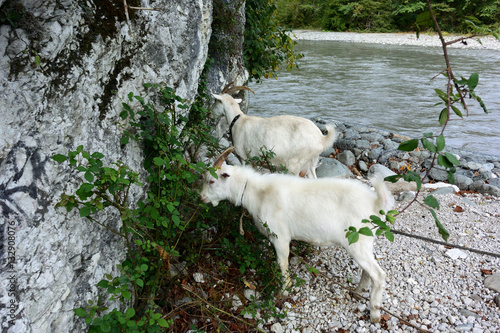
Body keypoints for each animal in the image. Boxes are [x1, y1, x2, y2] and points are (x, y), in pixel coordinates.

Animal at [199, 147, 394, 322]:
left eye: (211, 181)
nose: (201, 198)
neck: (259, 192)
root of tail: (376, 204)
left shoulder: (280, 236)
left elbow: (282, 262)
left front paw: (284, 290)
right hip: (364, 242)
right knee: (368, 271)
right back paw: (358, 293)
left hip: (357, 241)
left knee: (379, 275)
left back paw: (375, 314)